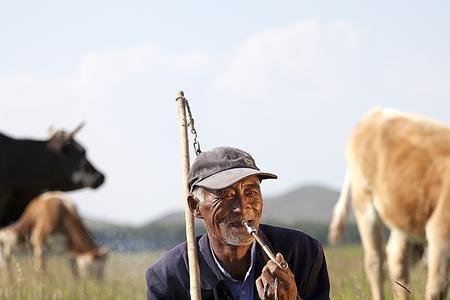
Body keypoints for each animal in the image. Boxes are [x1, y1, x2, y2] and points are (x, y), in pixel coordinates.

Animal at [328, 108, 448, 300]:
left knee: (396, 259)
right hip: (364, 203)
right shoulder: (440, 229)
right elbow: (438, 288)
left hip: (401, 214)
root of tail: (376, 112)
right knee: (375, 262)